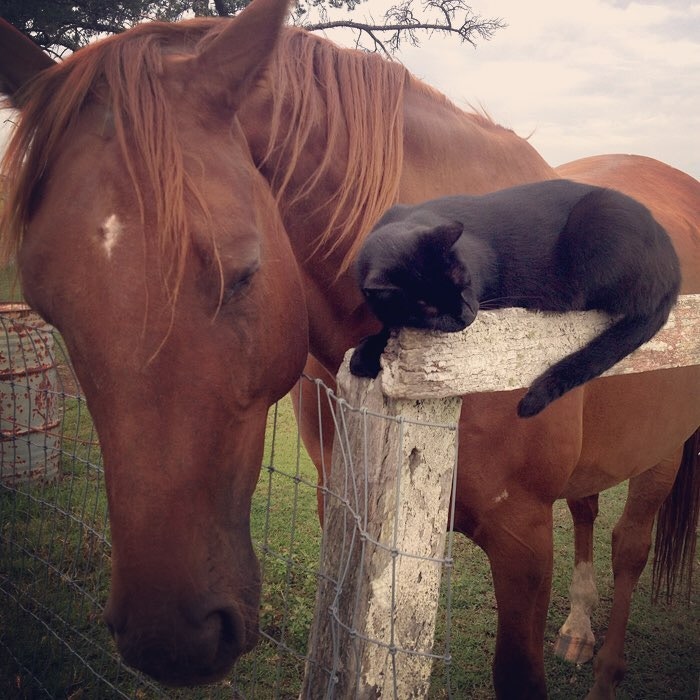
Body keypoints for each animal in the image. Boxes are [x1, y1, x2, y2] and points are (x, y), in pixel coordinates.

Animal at [350, 179, 681, 418]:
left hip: (601, 223)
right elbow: (389, 325)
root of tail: (674, 270)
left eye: (462, 281)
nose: (465, 314)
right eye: (427, 307)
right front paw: (368, 350)